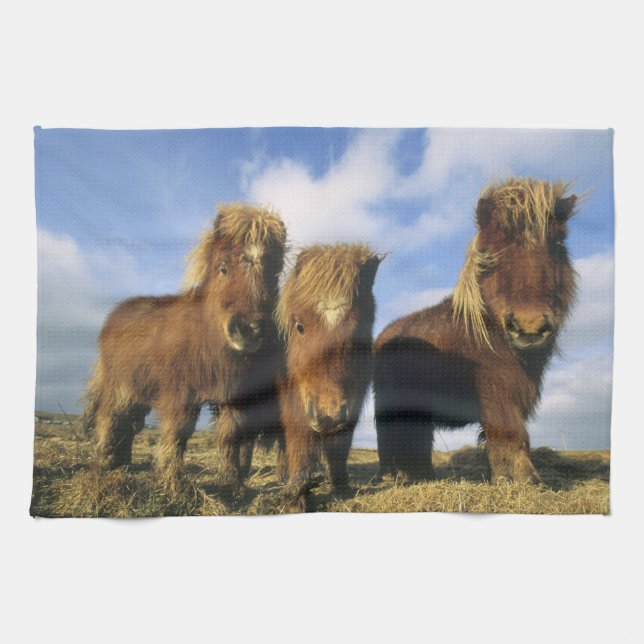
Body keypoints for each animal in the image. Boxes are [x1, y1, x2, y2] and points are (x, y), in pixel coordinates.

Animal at [80, 203, 287, 488]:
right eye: (223, 268)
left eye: (274, 275)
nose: (249, 330)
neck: (208, 337)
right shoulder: (180, 393)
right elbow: (178, 433)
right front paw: (171, 481)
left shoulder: (233, 396)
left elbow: (230, 436)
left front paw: (232, 485)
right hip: (119, 386)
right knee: (110, 417)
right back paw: (104, 464)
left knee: (130, 424)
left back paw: (122, 462)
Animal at [276, 244, 382, 510]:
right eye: (300, 326)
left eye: (361, 328)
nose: (328, 414)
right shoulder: (294, 406)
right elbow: (299, 445)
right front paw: (297, 499)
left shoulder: (351, 407)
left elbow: (339, 449)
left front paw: (341, 488)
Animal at [374, 178, 578, 484]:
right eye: (490, 254)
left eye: (558, 244)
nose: (529, 327)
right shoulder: (496, 393)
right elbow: (510, 433)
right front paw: (521, 481)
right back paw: (393, 477)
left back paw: (422, 476)